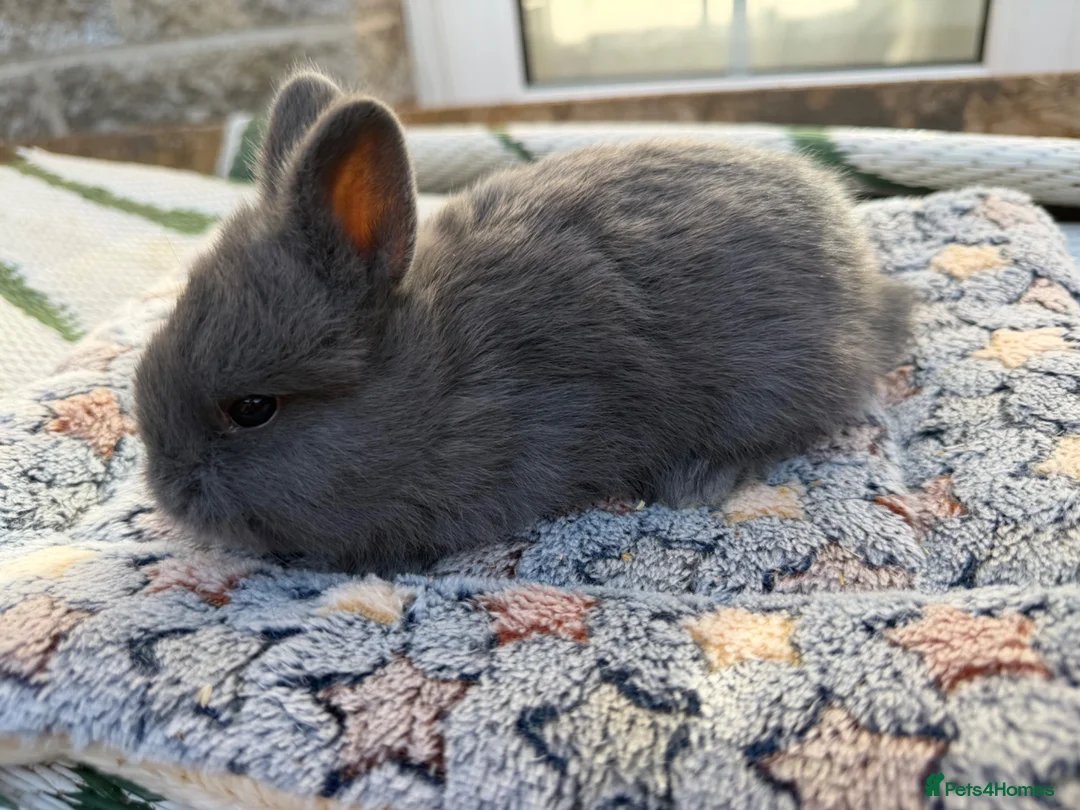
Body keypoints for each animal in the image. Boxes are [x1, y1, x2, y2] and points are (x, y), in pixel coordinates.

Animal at [133, 68, 913, 575]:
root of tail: (868, 289)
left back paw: (698, 476)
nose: (166, 490)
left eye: (252, 409)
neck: (436, 377)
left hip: (768, 383)